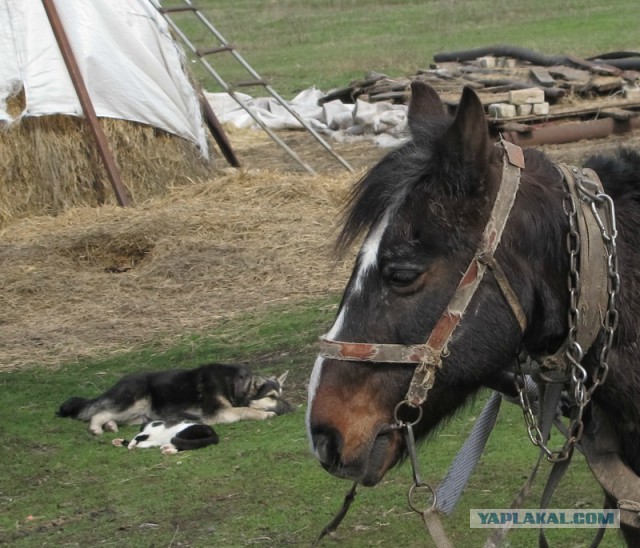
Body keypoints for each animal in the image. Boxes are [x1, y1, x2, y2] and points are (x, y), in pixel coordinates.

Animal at [57, 364, 292, 436]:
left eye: (282, 394)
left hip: (139, 415)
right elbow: (245, 410)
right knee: (99, 412)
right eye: (271, 397)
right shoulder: (217, 413)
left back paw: (111, 426)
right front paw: (264, 414)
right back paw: (96, 427)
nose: (293, 409)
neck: (234, 384)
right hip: (135, 401)